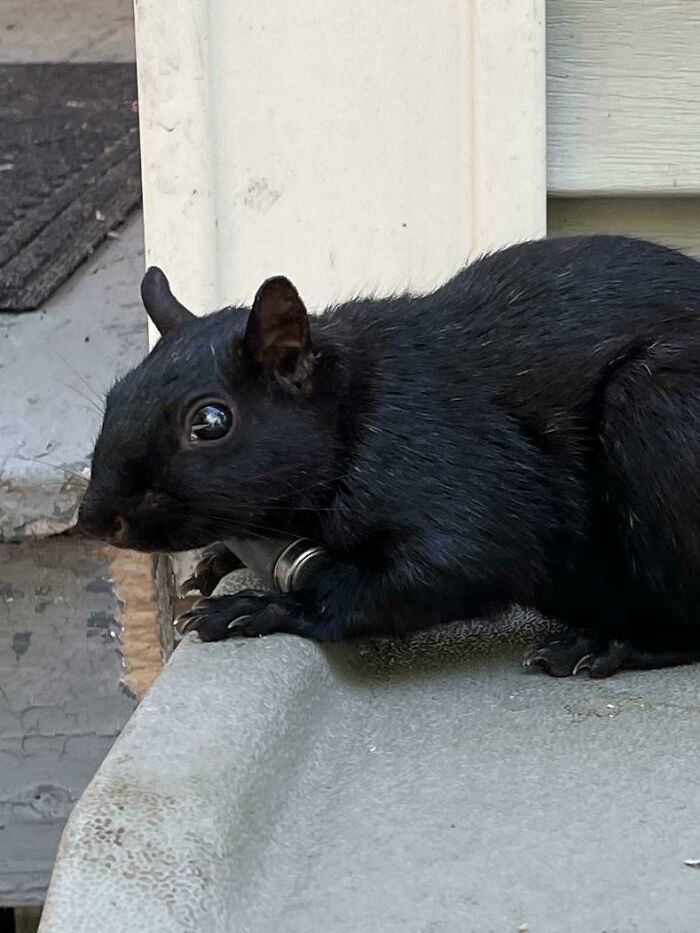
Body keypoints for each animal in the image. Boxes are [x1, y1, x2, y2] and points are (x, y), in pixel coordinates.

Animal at [78, 235, 700, 678]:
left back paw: (613, 644)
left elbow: (453, 567)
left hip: (657, 411)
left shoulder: (449, 470)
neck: (354, 407)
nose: (95, 520)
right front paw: (220, 559)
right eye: (116, 394)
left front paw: (261, 608)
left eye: (211, 421)